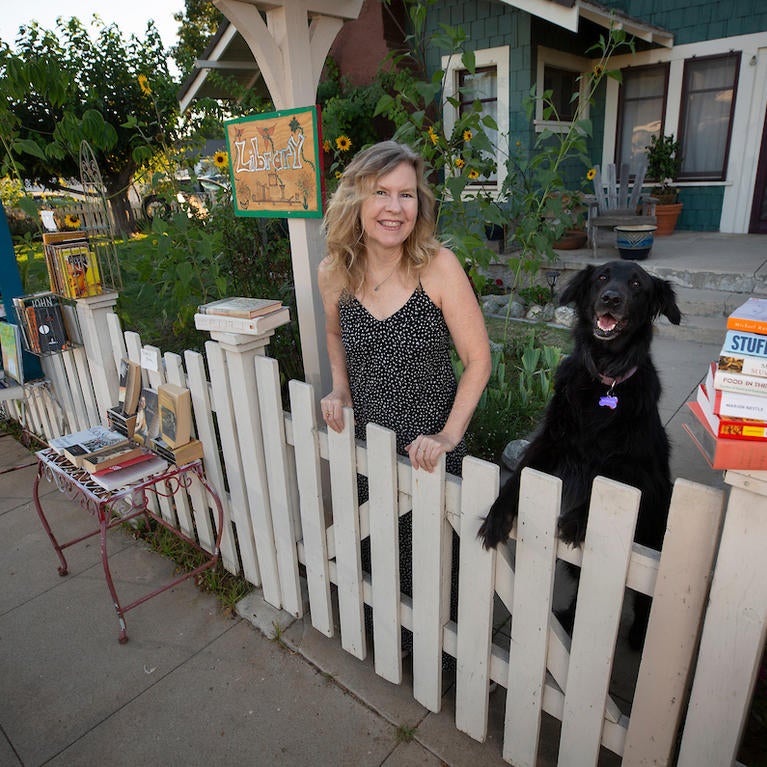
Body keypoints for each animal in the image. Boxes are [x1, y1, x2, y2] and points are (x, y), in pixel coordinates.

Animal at [480, 260, 684, 652]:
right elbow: (518, 476)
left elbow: (606, 484)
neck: (606, 381)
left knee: (645, 600)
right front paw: (498, 513)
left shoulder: (640, 473)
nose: (611, 298)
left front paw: (577, 518)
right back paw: (571, 620)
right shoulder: (548, 444)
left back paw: (638, 635)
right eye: (602, 276)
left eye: (637, 284)